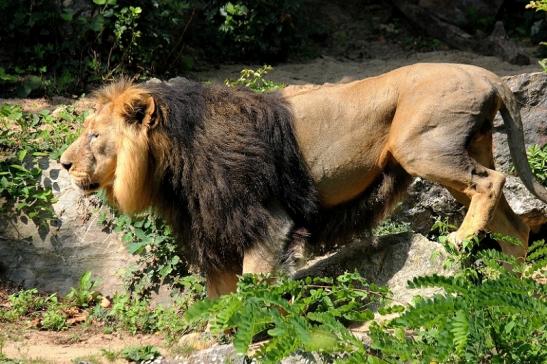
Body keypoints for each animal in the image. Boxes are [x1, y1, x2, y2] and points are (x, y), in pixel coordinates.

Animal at [61, 63, 547, 296]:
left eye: (94, 135)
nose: (63, 165)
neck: (171, 159)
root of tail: (486, 75)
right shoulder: (214, 227)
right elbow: (218, 294)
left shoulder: (265, 220)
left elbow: (252, 284)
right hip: (461, 148)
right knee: (514, 221)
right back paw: (511, 276)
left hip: (424, 147)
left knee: (492, 182)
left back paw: (460, 240)